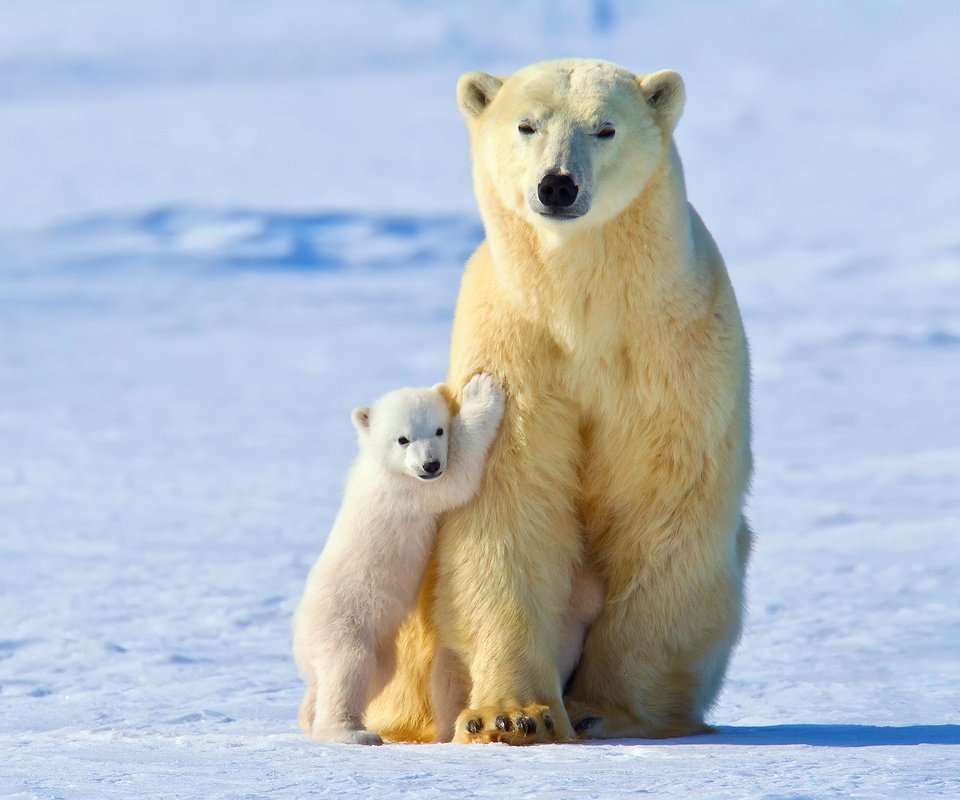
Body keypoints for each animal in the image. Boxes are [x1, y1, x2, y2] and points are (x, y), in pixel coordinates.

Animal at [366, 59, 752, 748]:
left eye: (605, 127)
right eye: (527, 124)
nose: (557, 186)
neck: (583, 309)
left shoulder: (672, 354)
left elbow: (664, 506)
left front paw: (607, 709)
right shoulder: (515, 350)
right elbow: (509, 507)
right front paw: (514, 715)